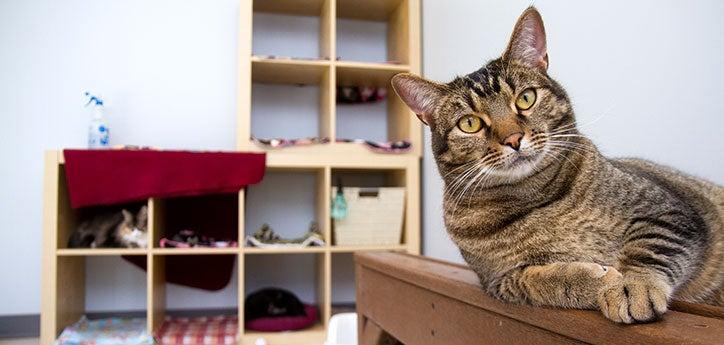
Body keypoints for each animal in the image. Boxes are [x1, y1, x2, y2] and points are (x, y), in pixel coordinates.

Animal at [394, 6, 720, 322]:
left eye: (526, 98)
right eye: (470, 124)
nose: (513, 138)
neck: (535, 199)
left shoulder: (667, 210)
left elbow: (649, 249)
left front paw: (632, 285)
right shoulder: (499, 281)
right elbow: (541, 280)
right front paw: (599, 280)